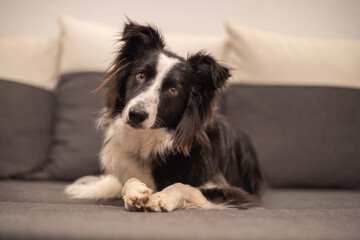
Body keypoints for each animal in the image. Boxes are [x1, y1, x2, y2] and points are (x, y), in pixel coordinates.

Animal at [65, 21, 262, 212]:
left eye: (173, 90)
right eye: (141, 75)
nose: (136, 115)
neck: (150, 142)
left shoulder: (234, 192)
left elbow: (183, 186)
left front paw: (160, 197)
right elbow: (129, 181)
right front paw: (135, 192)